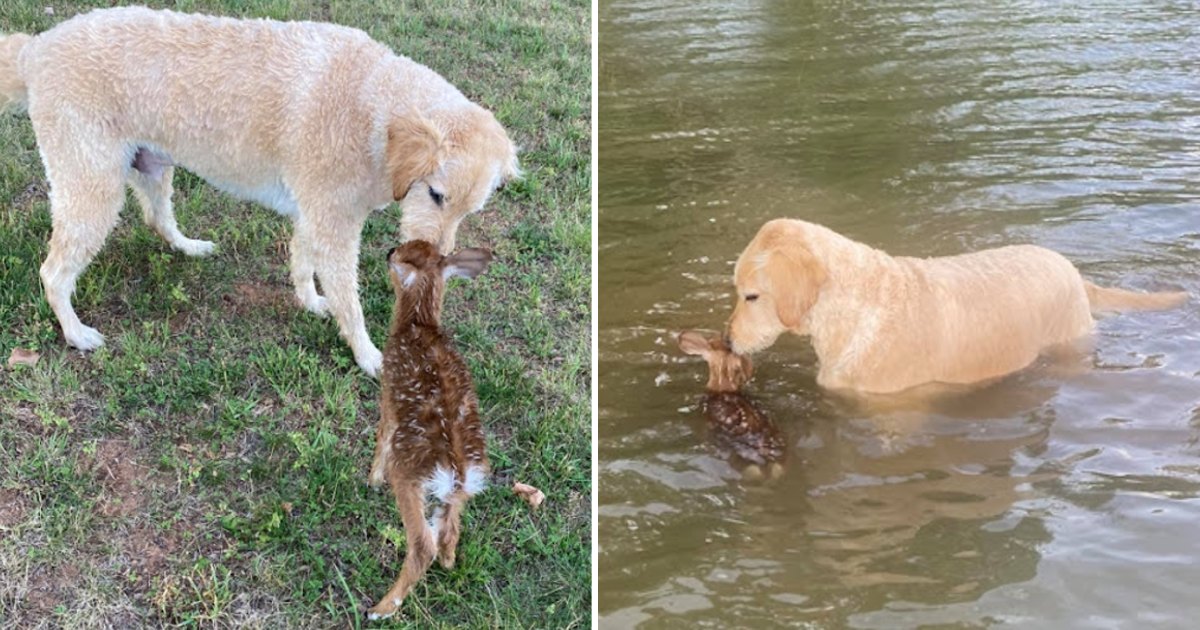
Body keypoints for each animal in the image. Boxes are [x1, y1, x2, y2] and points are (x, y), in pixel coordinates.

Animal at [0, 7, 518, 374]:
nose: (437, 262)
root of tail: (36, 49)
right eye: (435, 195)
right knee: (53, 273)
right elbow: (349, 300)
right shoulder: (334, 226)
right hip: (92, 191)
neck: (375, 106)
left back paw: (189, 247)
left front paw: (310, 302)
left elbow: (303, 263)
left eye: (469, 211)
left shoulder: (315, 214)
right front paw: (369, 355)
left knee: (157, 218)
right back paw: (75, 333)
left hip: (151, 165)